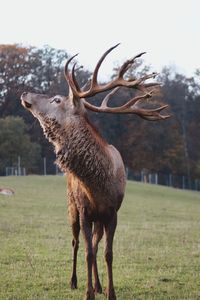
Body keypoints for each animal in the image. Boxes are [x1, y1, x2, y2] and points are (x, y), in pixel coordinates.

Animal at [20, 44, 170, 300]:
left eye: (56, 99)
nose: (25, 93)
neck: (98, 186)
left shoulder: (112, 213)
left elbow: (107, 253)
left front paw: (110, 292)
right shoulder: (85, 211)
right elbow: (88, 253)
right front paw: (88, 293)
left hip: (98, 219)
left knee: (97, 245)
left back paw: (99, 285)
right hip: (71, 207)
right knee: (76, 243)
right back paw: (74, 281)